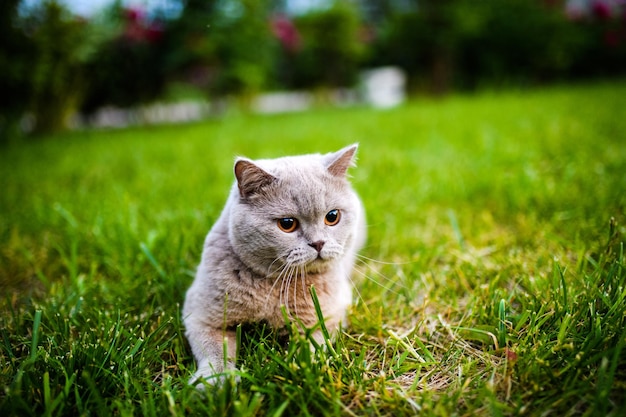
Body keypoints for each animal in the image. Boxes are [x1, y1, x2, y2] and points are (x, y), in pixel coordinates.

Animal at [180, 145, 366, 386]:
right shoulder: (201, 315)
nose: (318, 243)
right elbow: (214, 350)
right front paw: (216, 381)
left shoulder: (329, 314)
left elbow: (313, 344)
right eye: (287, 224)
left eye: (332, 216)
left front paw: (300, 370)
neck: (274, 287)